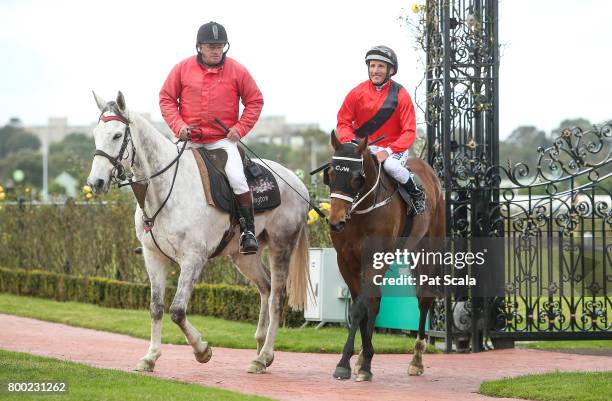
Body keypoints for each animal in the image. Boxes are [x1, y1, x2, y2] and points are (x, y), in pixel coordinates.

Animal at [88, 90, 308, 372]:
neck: (164, 190)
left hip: (281, 247)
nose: (96, 182)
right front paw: (150, 357)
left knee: (277, 299)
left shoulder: (193, 259)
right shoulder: (153, 257)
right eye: (95, 134)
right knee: (266, 288)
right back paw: (260, 348)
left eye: (117, 135)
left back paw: (264, 356)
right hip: (243, 257)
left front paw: (202, 350)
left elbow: (177, 310)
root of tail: (297, 182)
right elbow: (156, 307)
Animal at [328, 132, 442, 382]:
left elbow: (358, 308)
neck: (362, 211)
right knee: (375, 301)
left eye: (356, 177)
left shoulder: (375, 259)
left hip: (427, 251)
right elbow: (362, 304)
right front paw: (363, 360)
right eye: (330, 173)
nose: (336, 222)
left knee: (424, 298)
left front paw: (344, 363)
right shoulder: (346, 262)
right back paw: (364, 358)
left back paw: (417, 359)